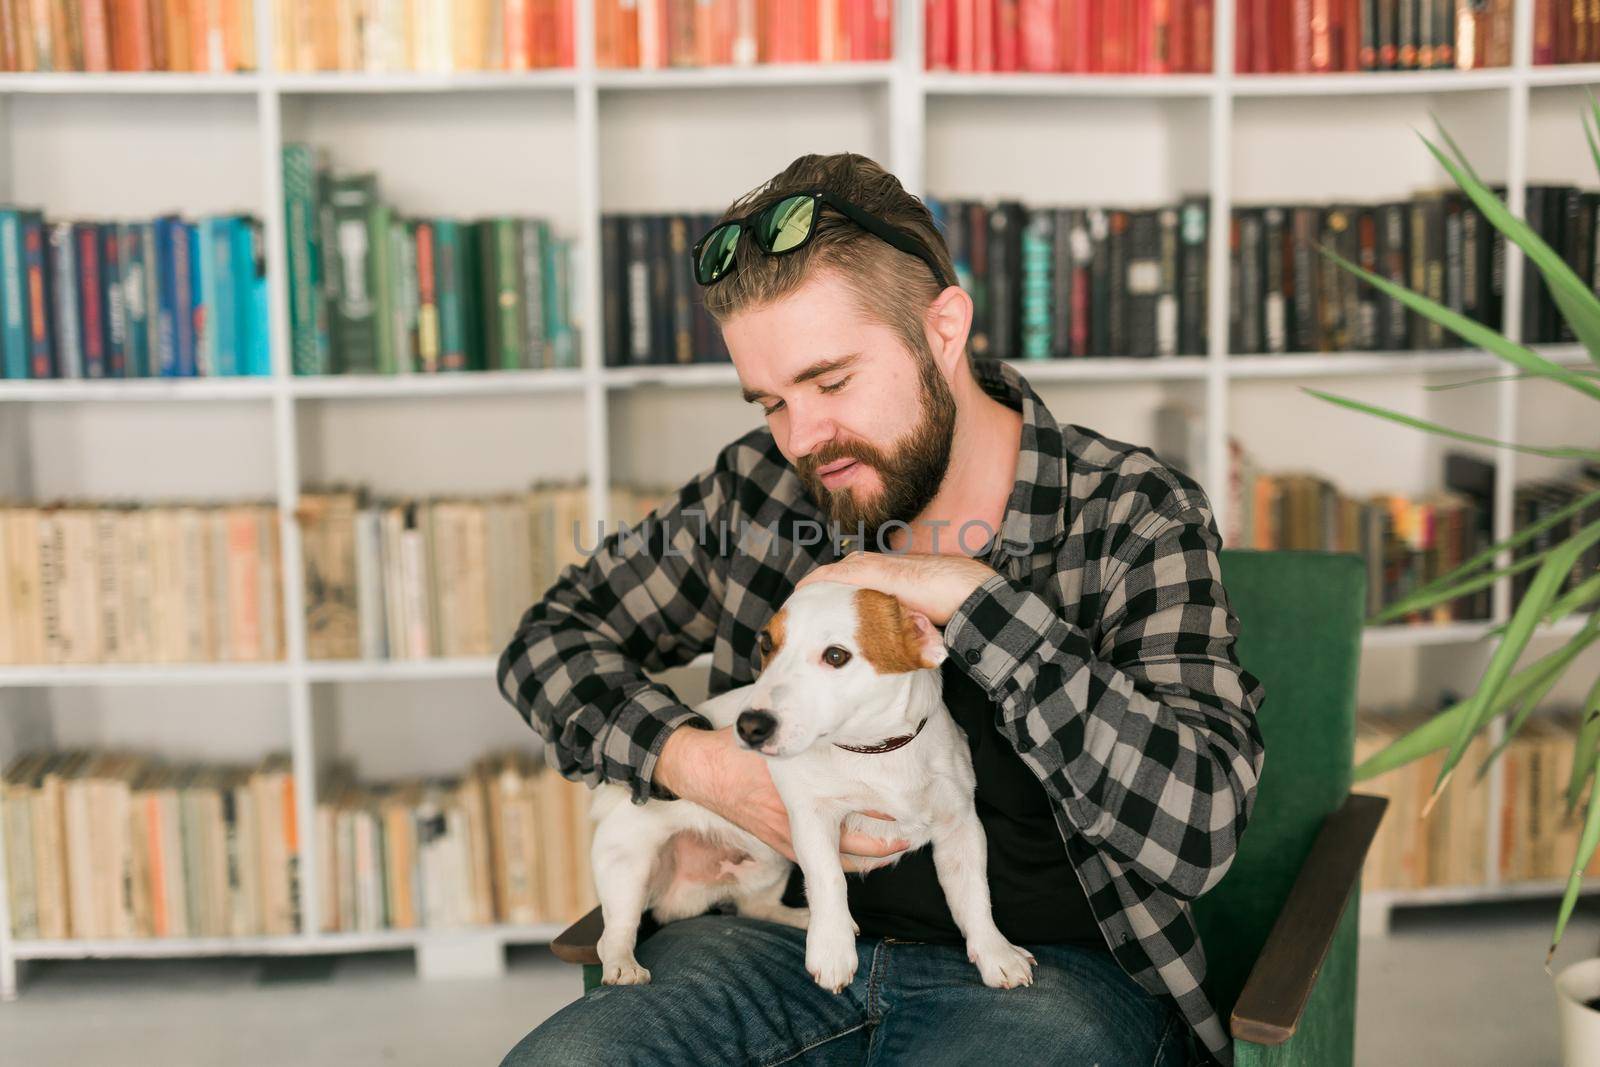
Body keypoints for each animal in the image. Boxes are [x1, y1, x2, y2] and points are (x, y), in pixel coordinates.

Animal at [588, 579, 1036, 998]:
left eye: (836, 656)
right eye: (766, 644)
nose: (749, 726)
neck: (872, 752)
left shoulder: (961, 827)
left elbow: (974, 897)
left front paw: (996, 953)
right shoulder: (812, 819)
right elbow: (829, 879)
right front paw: (832, 948)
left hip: (768, 865)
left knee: (755, 905)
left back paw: (798, 918)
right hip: (630, 866)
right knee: (612, 935)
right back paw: (623, 966)